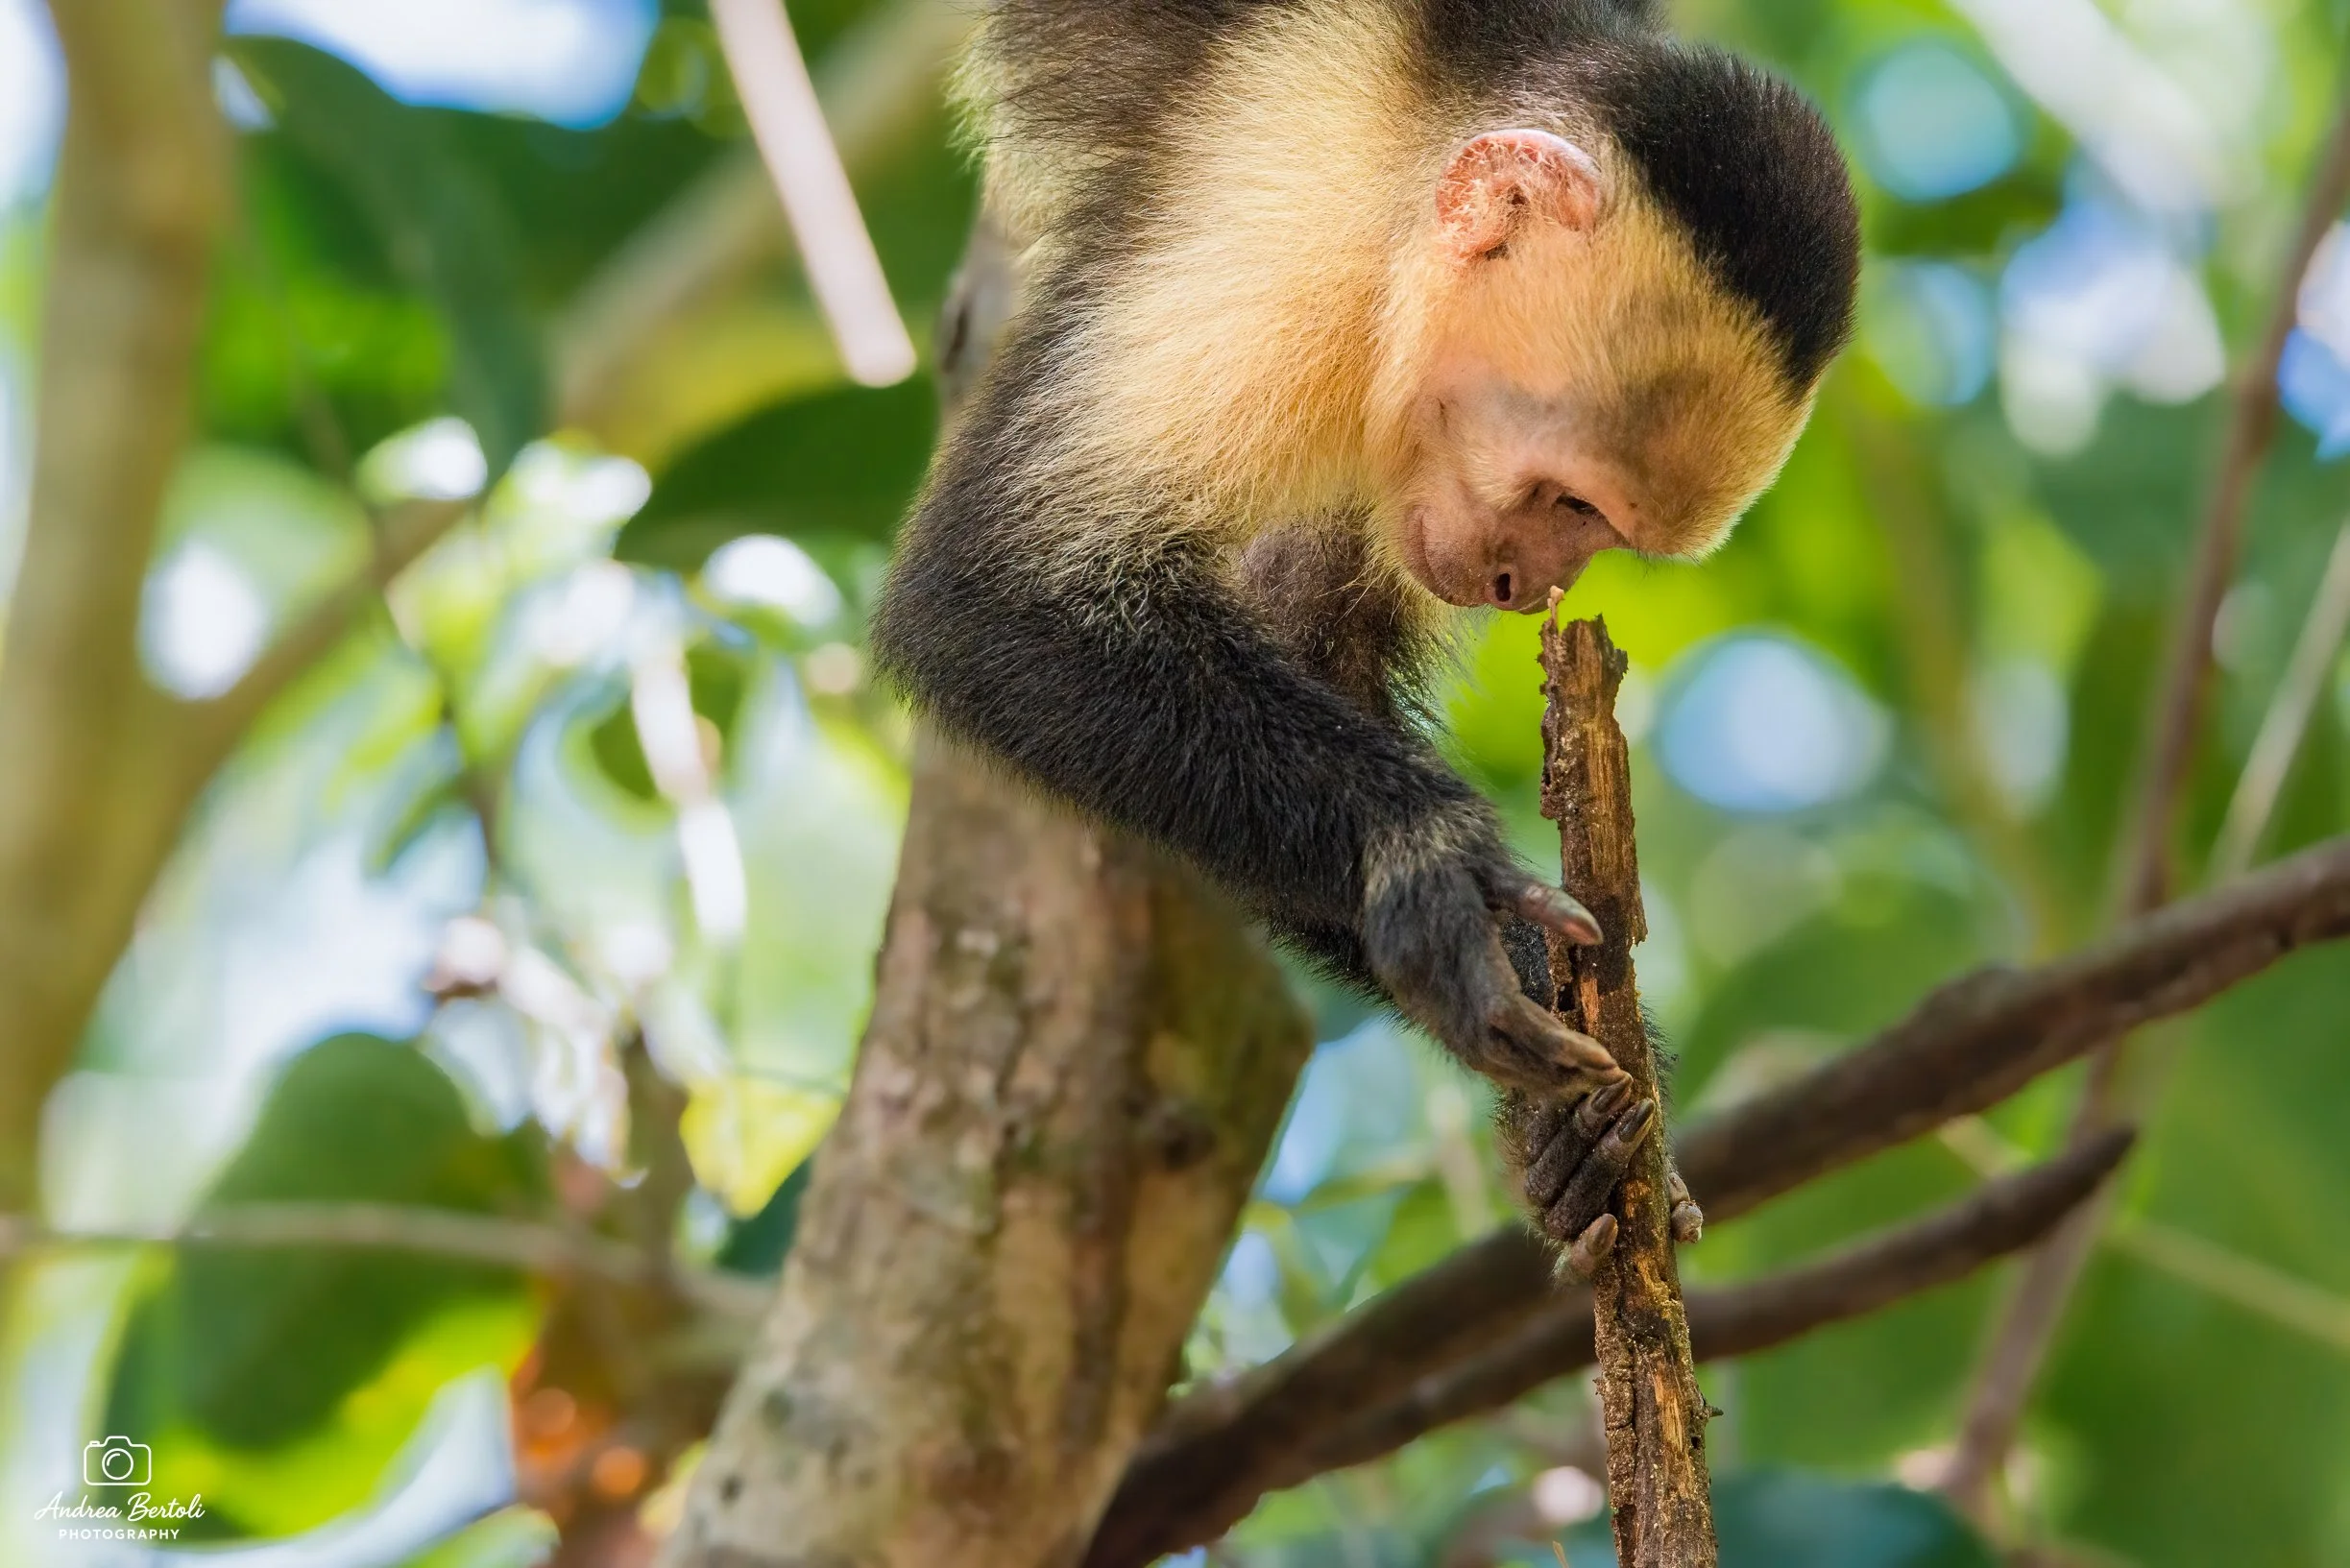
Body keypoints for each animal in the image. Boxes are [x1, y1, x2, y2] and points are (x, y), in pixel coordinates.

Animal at [872, 0, 1859, 1272]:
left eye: (1600, 530)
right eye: (1569, 500)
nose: (1521, 588)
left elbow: (1309, 641)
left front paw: (1575, 1101)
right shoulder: (1281, 240)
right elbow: (990, 589)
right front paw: (1425, 859)